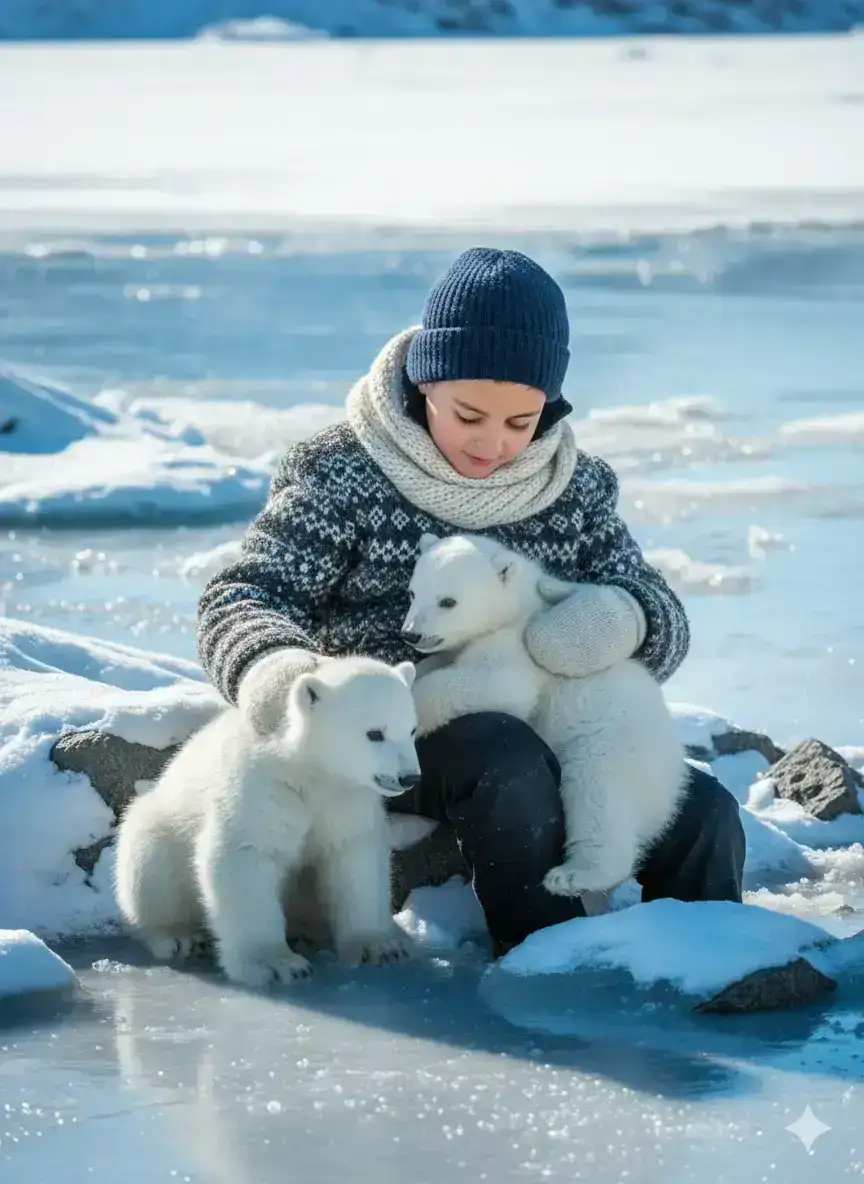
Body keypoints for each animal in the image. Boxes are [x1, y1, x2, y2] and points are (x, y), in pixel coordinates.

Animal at [114, 654, 421, 988]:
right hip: (160, 827)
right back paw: (179, 936)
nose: (409, 777)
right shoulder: (262, 789)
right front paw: (276, 965)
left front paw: (380, 947)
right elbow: (247, 856)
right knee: (151, 869)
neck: (309, 772)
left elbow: (353, 857)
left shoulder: (346, 799)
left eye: (412, 730)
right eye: (375, 733)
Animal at [401, 533, 687, 898]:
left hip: (613, 747)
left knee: (597, 795)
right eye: (413, 592)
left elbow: (499, 685)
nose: (411, 634)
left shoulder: (519, 646)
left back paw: (571, 876)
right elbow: (436, 663)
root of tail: (670, 794)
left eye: (448, 601)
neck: (519, 605)